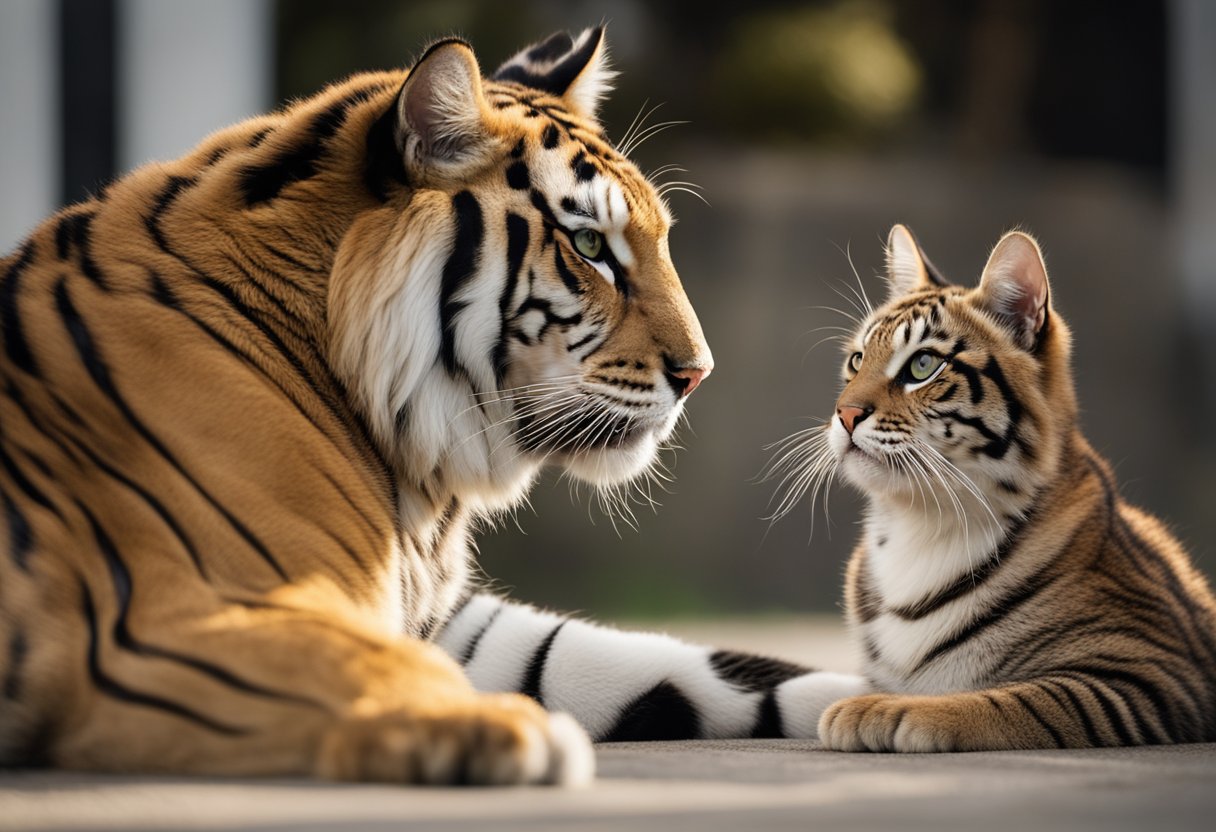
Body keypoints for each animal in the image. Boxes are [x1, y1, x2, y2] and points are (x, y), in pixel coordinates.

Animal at [0, 22, 875, 783]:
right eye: (590, 245)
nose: (699, 373)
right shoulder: (172, 617)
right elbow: (364, 660)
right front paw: (509, 730)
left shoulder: (453, 621)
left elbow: (711, 665)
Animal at [768, 223, 1216, 749]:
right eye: (858, 360)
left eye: (923, 365)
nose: (844, 414)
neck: (918, 522)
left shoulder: (1156, 675)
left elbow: (1018, 700)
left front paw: (885, 709)